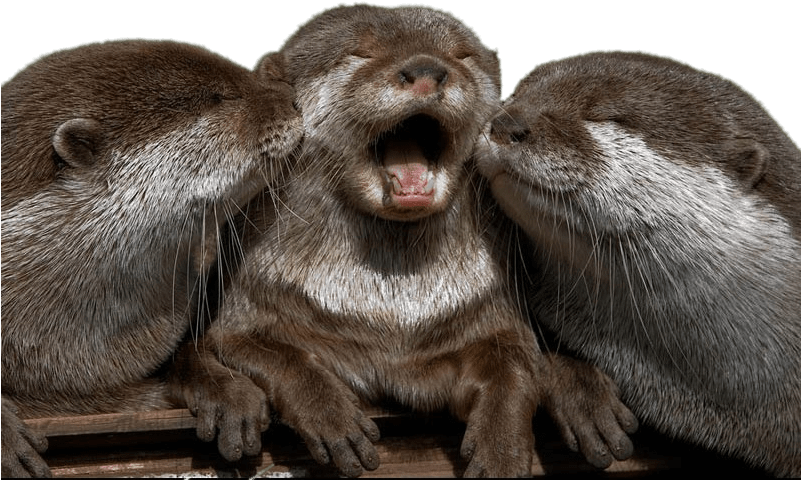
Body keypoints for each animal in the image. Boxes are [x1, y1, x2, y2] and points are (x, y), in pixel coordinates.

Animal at [171, 6, 638, 478]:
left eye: (461, 55)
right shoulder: (250, 304)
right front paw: (331, 416)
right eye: (358, 53)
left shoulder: (488, 313)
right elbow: (274, 354)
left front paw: (501, 450)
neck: (391, 318)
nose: (428, 70)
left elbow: (515, 363)